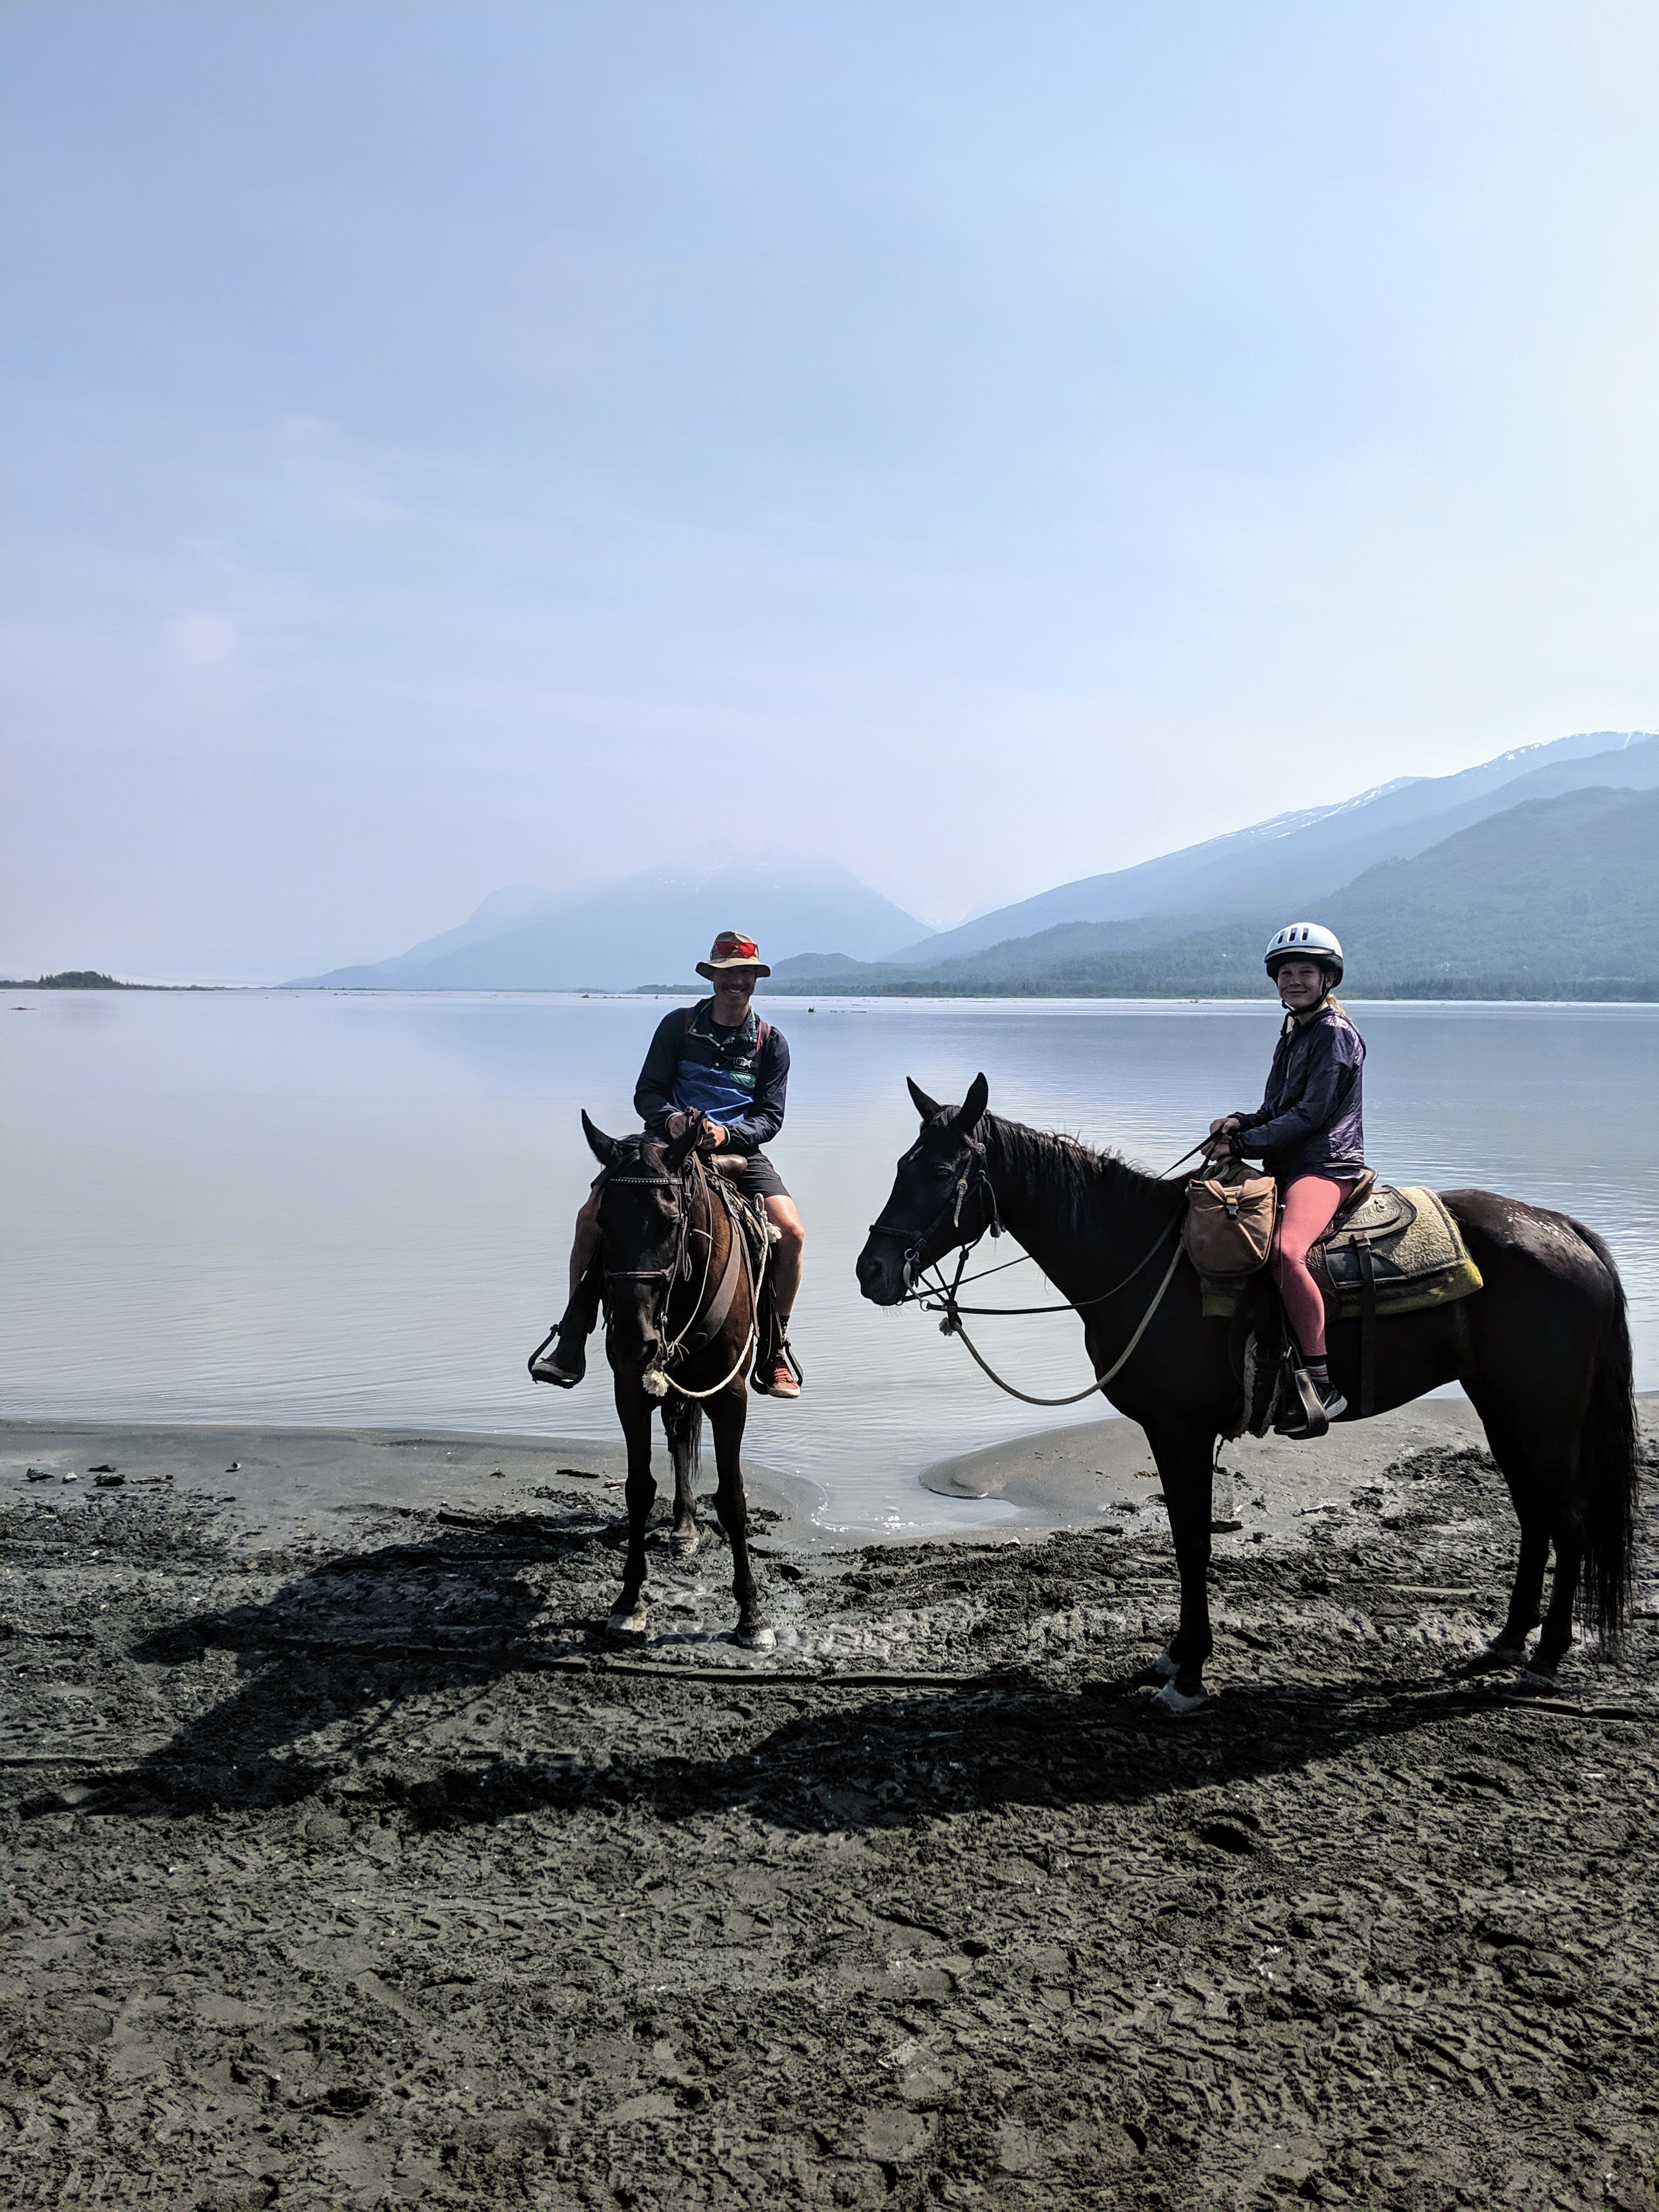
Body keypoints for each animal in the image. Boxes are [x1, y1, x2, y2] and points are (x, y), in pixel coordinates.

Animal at [579, 1115, 778, 1654]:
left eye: (671, 1222)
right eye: (603, 1223)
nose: (635, 1342)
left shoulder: (731, 1397)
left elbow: (733, 1499)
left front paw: (751, 1616)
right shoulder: (630, 1390)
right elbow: (638, 1488)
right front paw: (629, 1603)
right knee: (678, 1434)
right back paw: (683, 1525)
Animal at [862, 1070, 1645, 1707]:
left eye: (943, 1170)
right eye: (901, 1163)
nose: (871, 1270)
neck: (1145, 1259)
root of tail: (1565, 1232)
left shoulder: (1180, 1430)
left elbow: (1191, 1544)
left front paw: (1188, 1674)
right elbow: (1186, 1540)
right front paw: (1176, 1657)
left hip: (1544, 1414)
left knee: (1569, 1522)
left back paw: (1544, 1659)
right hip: (1502, 1406)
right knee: (1535, 1518)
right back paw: (1508, 1642)